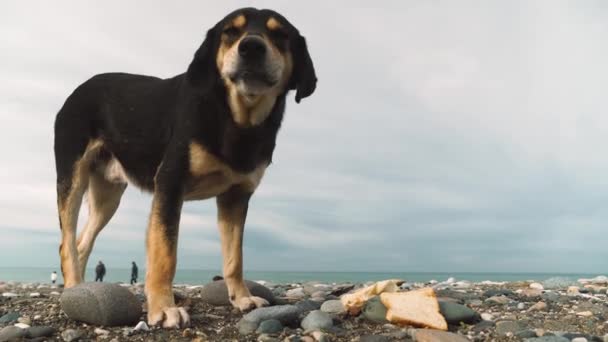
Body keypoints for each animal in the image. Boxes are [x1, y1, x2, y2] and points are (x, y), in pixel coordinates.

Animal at [54, 8, 316, 328]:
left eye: (280, 35)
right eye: (231, 31)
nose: (251, 47)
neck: (234, 119)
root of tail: (78, 90)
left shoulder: (236, 196)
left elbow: (235, 257)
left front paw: (242, 298)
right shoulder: (170, 185)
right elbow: (165, 254)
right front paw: (164, 308)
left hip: (108, 196)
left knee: (81, 243)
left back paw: (80, 290)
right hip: (72, 178)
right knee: (67, 243)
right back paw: (73, 289)